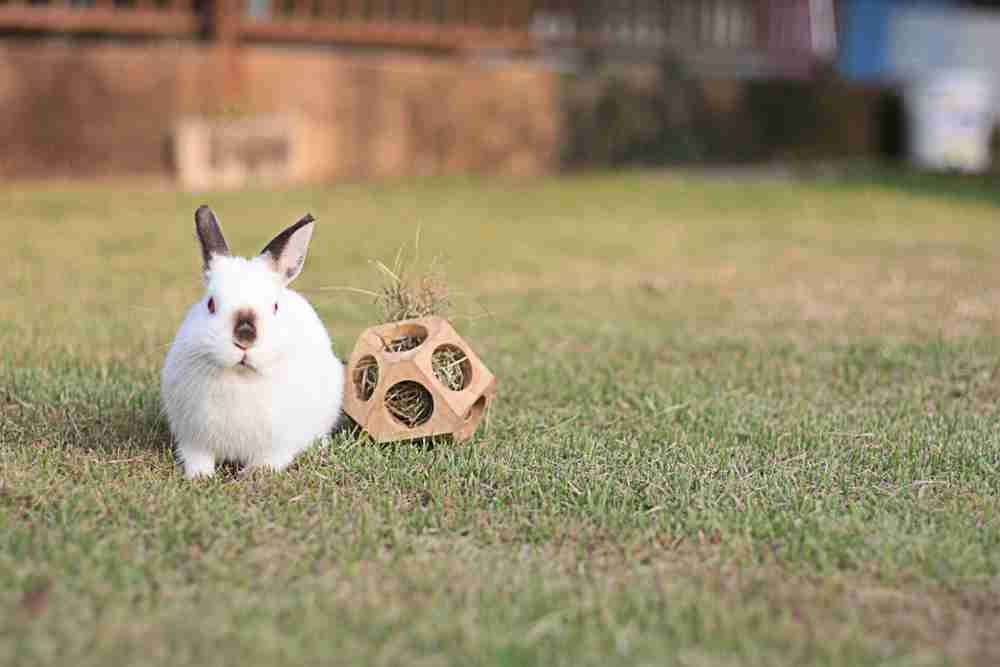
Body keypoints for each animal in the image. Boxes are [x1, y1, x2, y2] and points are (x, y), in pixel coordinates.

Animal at [162, 206, 346, 478]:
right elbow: (198, 458)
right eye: (211, 304)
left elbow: (269, 459)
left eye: (275, 306)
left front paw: (254, 473)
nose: (244, 338)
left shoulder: (279, 444)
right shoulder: (193, 439)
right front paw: (201, 476)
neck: (241, 377)